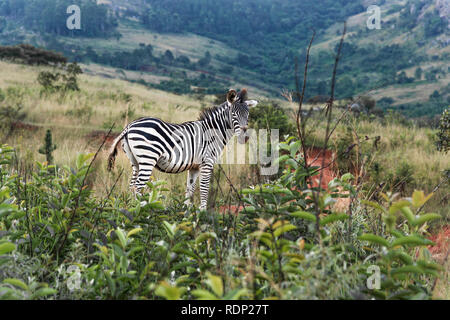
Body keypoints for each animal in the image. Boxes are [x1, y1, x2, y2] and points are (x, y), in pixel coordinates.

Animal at [107, 89, 258, 210]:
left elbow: (189, 190)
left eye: (248, 116)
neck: (212, 132)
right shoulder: (207, 162)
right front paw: (202, 213)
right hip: (148, 159)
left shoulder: (194, 167)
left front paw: (186, 213)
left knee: (132, 186)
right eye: (234, 115)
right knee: (138, 187)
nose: (245, 137)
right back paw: (142, 210)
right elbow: (204, 188)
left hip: (135, 161)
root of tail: (130, 126)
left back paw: (131, 210)